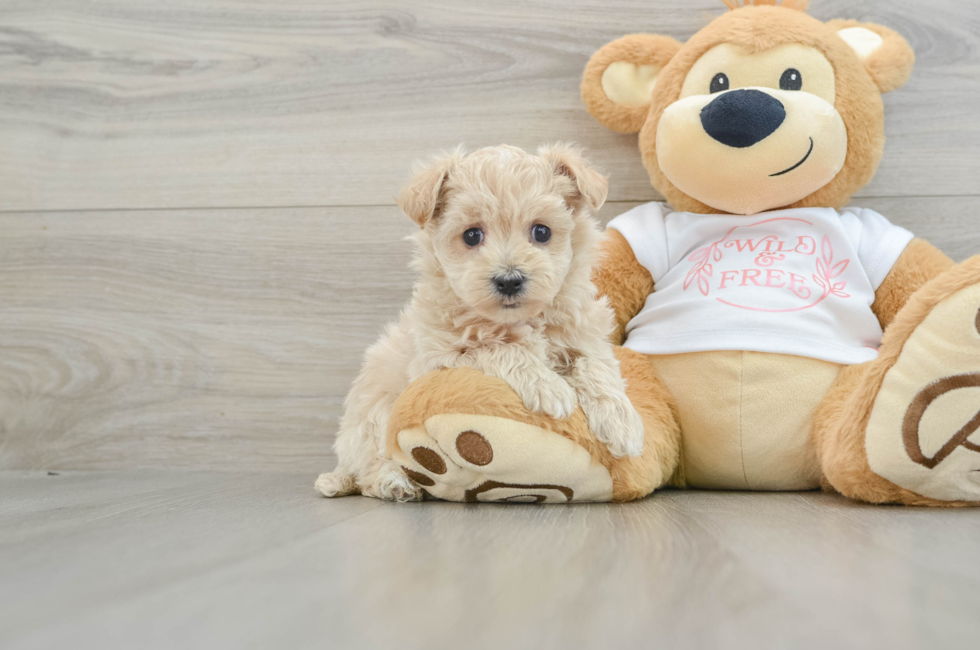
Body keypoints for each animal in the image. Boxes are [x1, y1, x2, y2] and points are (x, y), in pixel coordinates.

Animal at [318, 144, 648, 502]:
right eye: (471, 236)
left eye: (542, 231)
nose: (509, 280)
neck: (519, 319)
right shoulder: (439, 360)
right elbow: (497, 348)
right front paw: (548, 387)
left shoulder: (584, 336)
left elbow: (596, 366)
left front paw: (622, 423)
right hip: (374, 416)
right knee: (370, 468)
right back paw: (394, 483)